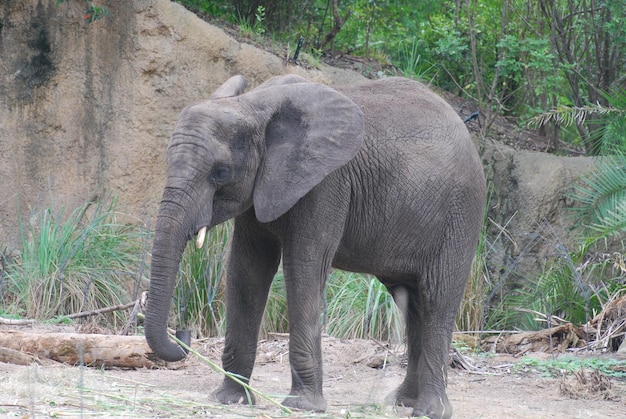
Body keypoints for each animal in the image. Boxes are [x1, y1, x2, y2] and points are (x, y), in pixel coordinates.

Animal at [144, 74, 486, 418]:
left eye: (220, 172)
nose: (183, 332)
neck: (254, 106)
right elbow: (245, 271)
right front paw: (230, 399)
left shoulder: (325, 185)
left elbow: (303, 268)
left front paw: (302, 405)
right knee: (411, 303)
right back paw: (402, 401)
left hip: (461, 215)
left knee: (437, 300)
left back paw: (429, 410)